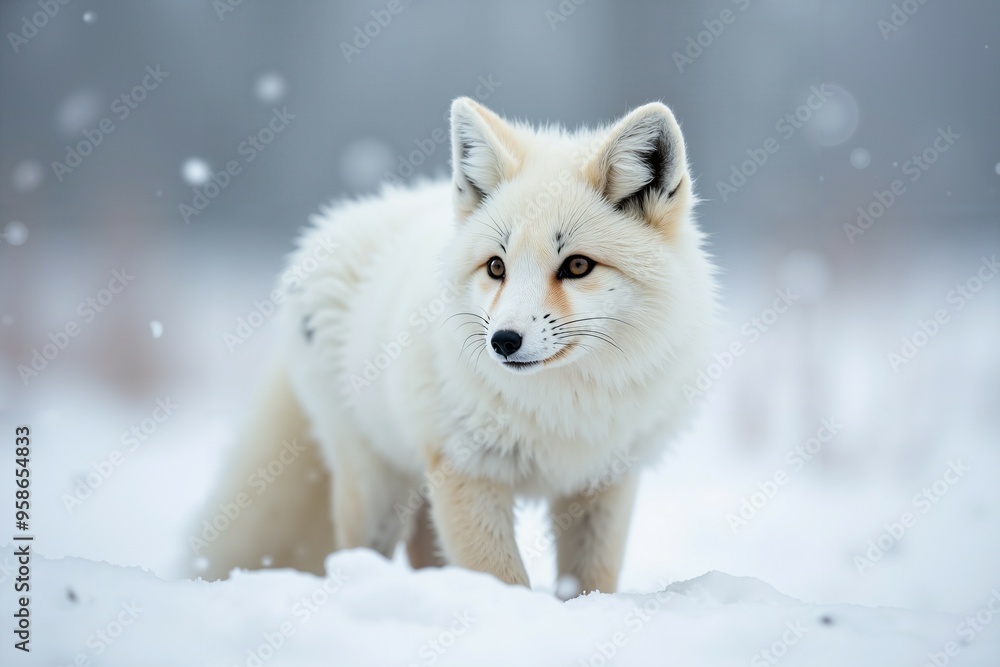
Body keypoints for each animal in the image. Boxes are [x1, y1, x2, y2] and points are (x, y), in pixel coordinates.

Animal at [191, 97, 717, 595]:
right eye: (496, 267)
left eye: (578, 266)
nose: (503, 341)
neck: (560, 412)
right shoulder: (466, 467)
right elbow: (503, 580)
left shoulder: (603, 481)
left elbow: (591, 581)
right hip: (376, 481)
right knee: (358, 552)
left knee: (424, 549)